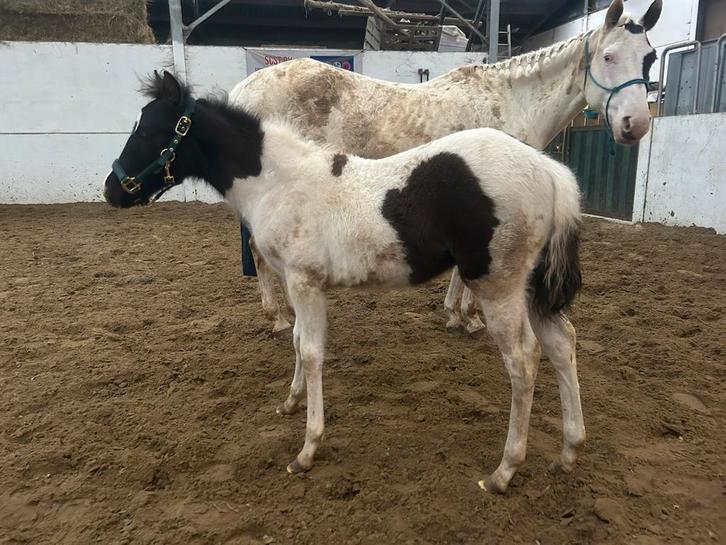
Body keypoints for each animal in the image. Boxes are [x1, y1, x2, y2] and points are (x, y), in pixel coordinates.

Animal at [104, 71, 583, 494]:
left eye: (148, 130)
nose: (112, 190)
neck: (279, 182)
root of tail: (547, 168)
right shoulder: (297, 284)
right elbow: (297, 339)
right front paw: (291, 401)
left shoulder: (305, 283)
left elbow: (312, 352)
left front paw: (307, 449)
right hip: (531, 287)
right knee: (563, 343)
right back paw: (568, 452)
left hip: (499, 286)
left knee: (523, 361)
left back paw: (504, 472)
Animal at [230, 0, 662, 336]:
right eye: (608, 57)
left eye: (649, 58)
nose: (636, 124)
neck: (512, 102)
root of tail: (242, 90)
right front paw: (469, 317)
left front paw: (455, 313)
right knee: (258, 251)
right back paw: (279, 318)